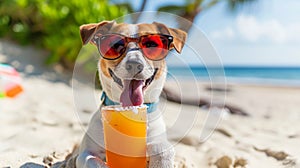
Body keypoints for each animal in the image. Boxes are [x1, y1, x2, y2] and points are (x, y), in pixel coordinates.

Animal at [75, 20, 186, 167]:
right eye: (116, 45)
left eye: (151, 45)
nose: (134, 64)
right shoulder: (84, 154)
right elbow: (91, 161)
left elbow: (163, 149)